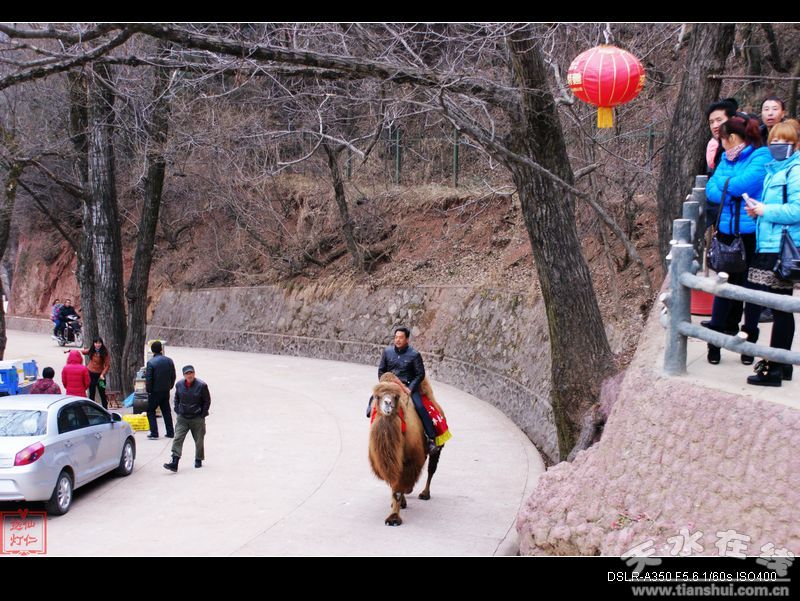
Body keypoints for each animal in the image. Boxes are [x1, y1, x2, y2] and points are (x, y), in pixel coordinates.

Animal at [368, 372, 445, 526]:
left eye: (396, 397)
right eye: (377, 396)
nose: (387, 403)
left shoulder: (409, 460)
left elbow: (397, 489)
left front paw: (393, 519)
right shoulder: (392, 463)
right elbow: (395, 485)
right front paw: (398, 505)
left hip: (438, 447)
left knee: (431, 469)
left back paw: (425, 494)